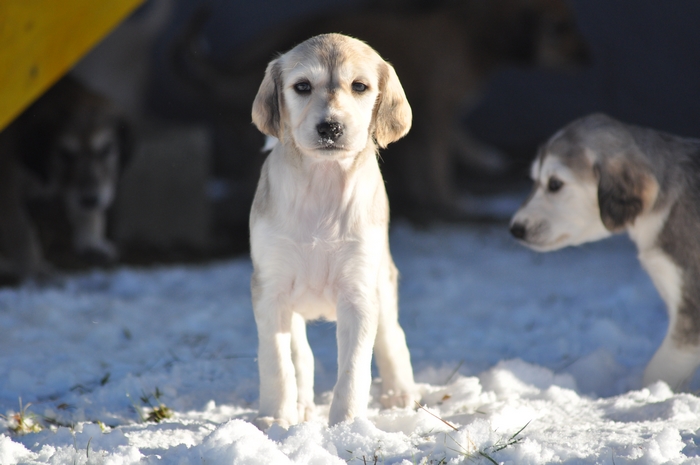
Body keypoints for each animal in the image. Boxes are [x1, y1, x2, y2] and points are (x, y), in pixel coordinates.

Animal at [0, 75, 131, 280]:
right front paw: (33, 268)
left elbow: (86, 211)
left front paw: (91, 242)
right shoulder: (7, 187)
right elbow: (21, 230)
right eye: (65, 154)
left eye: (106, 150)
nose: (90, 199)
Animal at [175, 0, 592, 220]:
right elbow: (438, 160)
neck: (469, 33)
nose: (586, 56)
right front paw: (450, 200)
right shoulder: (437, 112)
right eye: (559, 27)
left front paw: (479, 162)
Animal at [250, 32, 418, 428]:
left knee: (391, 334)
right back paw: (300, 405)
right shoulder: (270, 289)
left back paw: (400, 392)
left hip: (381, 280)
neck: (322, 184)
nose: (330, 127)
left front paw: (346, 425)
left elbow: (354, 368)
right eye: (302, 86)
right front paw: (275, 419)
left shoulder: (358, 292)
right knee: (300, 354)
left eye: (359, 86)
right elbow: (277, 361)